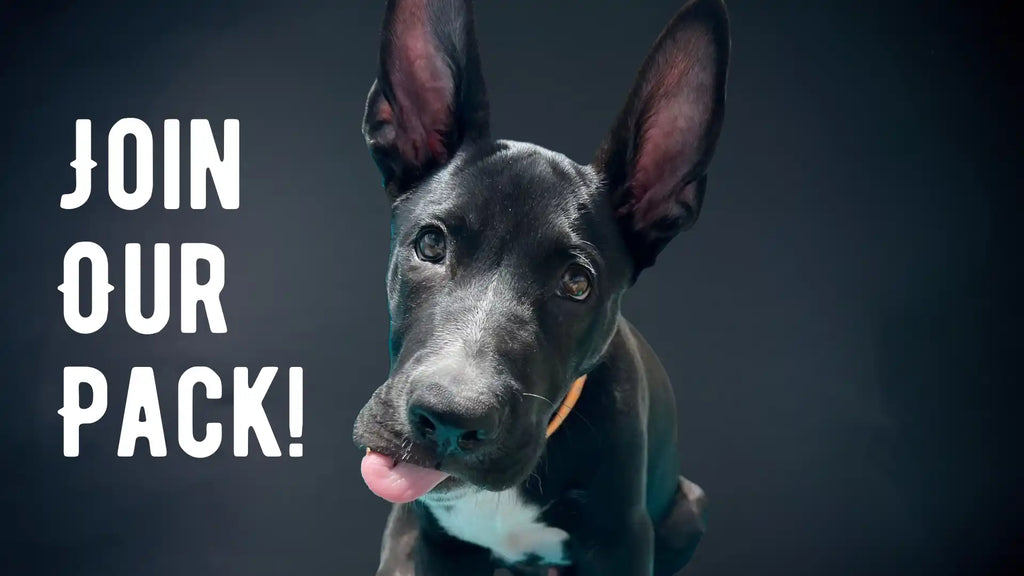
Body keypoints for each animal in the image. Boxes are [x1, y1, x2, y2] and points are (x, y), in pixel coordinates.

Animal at [352, 1, 729, 569]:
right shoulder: (431, 541)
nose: (450, 421)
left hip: (690, 508)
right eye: (431, 244)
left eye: (576, 283)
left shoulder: (624, 541)